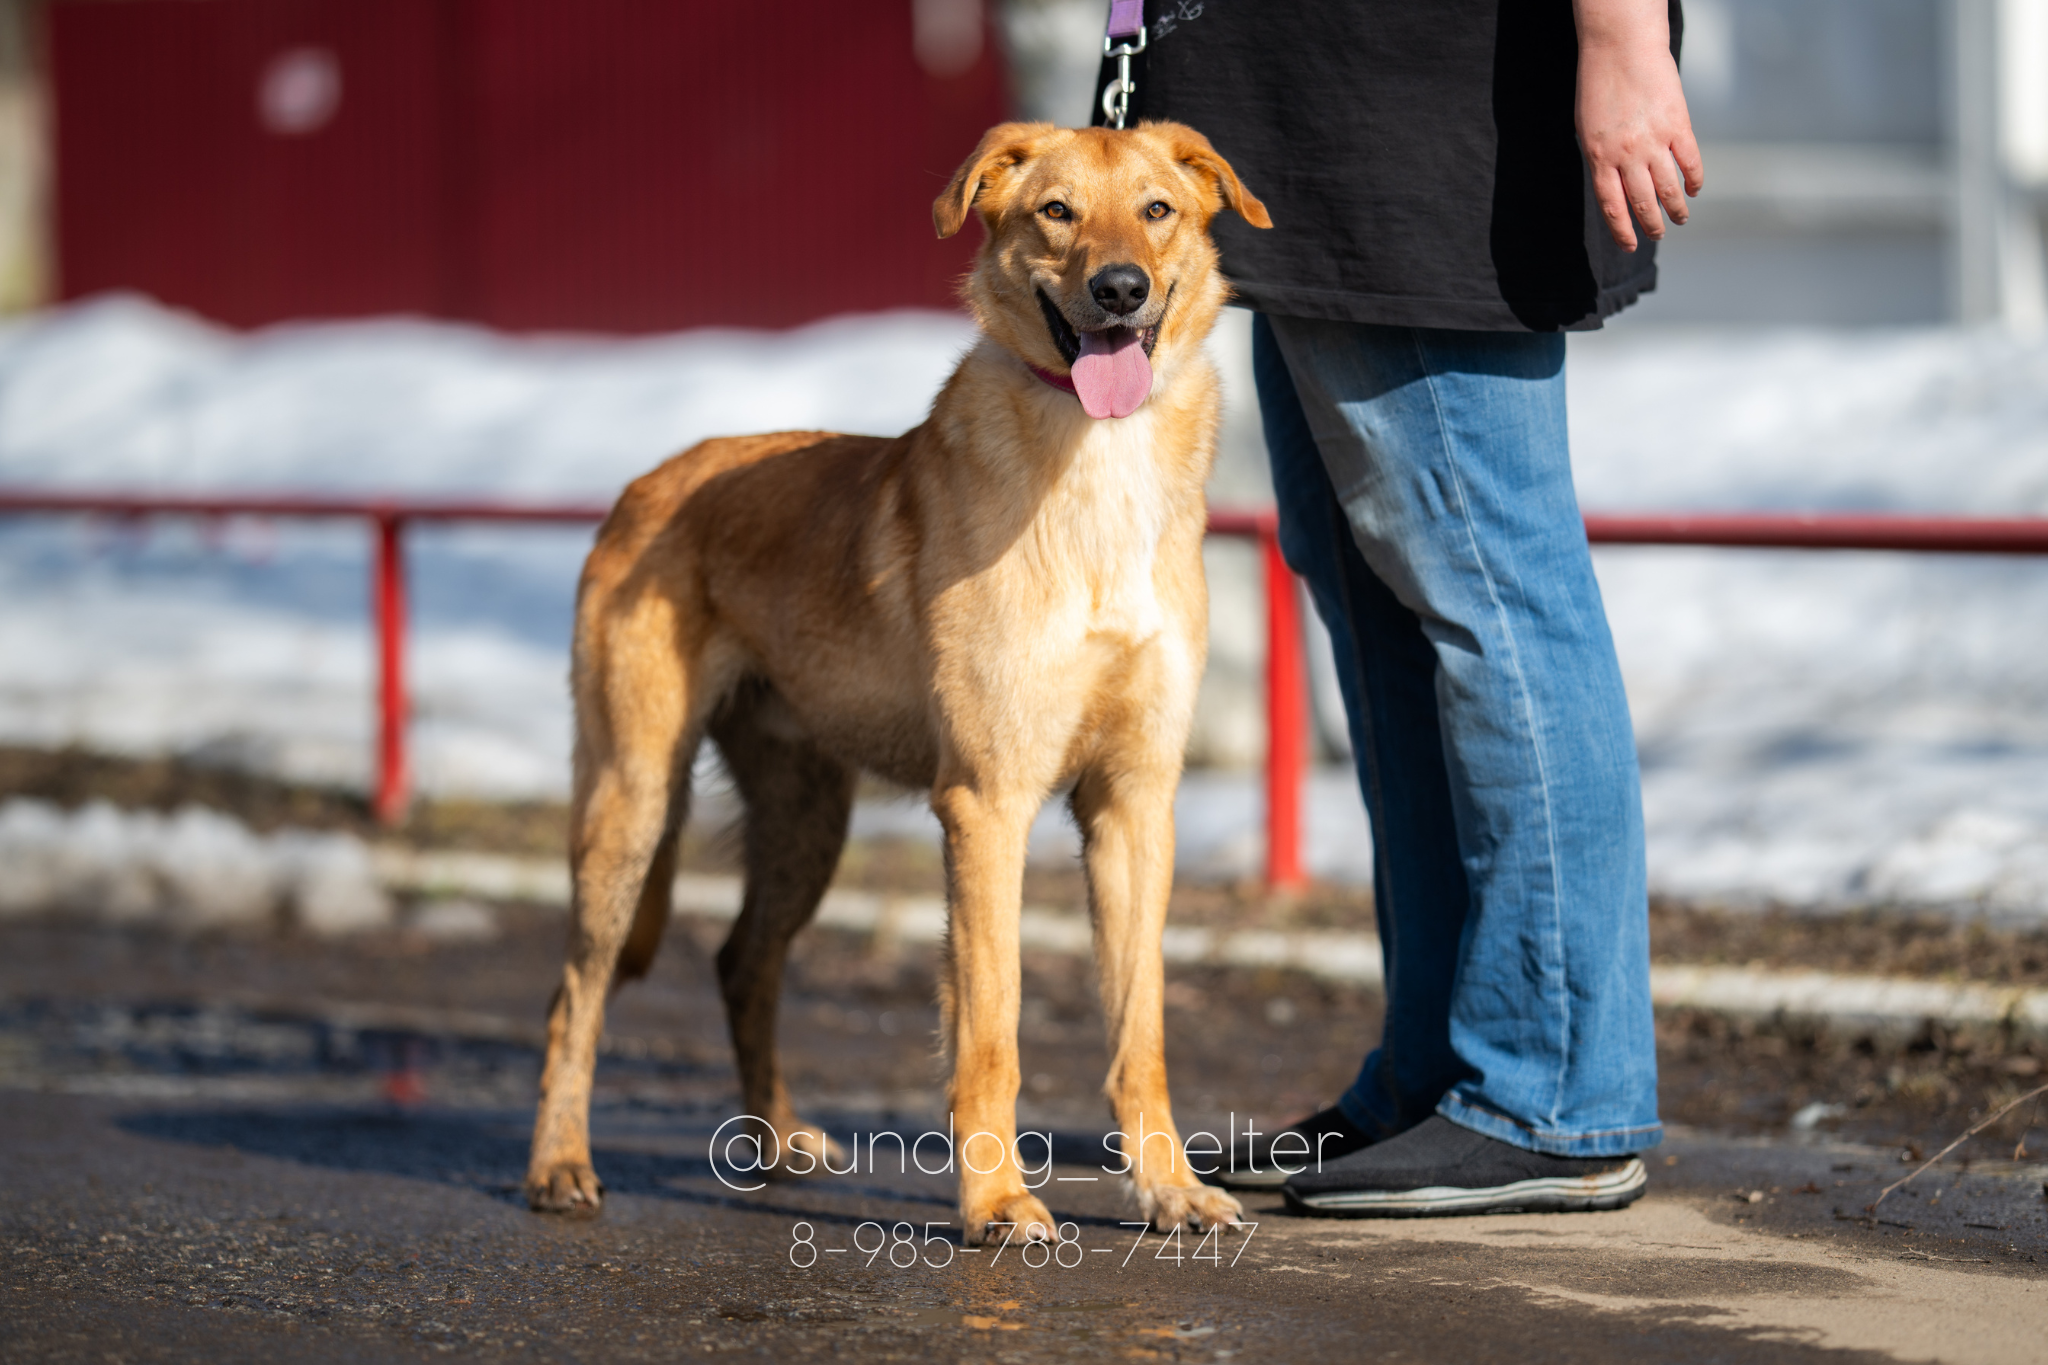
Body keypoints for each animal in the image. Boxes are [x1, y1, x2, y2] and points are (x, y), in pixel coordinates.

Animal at [524, 119, 1271, 1244]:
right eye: (1055, 211)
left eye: (1156, 210)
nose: (1120, 289)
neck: (1098, 473)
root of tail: (643, 485)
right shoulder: (987, 804)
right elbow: (992, 1026)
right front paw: (997, 1202)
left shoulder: (1134, 805)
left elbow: (1138, 1029)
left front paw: (1167, 1187)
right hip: (631, 801)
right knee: (577, 994)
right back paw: (560, 1165)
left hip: (805, 820)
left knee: (742, 960)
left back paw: (777, 1142)